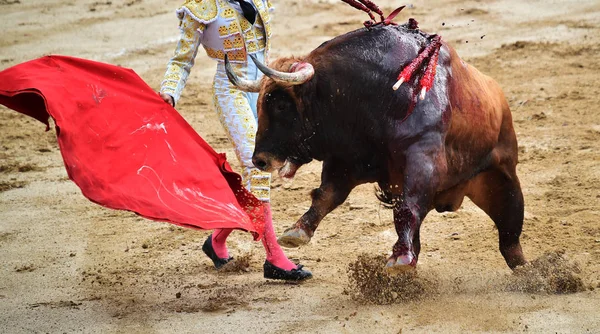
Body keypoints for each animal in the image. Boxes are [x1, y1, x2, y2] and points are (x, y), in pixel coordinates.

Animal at [224, 18, 524, 272]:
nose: (260, 159)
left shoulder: (423, 159)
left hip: (503, 181)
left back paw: (527, 274)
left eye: (281, 105)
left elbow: (407, 207)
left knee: (510, 239)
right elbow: (326, 195)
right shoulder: (347, 160)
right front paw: (297, 232)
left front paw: (399, 259)